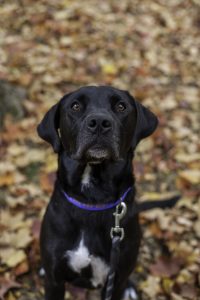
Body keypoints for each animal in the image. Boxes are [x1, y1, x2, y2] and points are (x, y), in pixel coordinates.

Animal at [38, 85, 159, 298]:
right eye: (75, 106)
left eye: (121, 106)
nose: (100, 123)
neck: (92, 199)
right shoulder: (54, 280)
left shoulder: (115, 279)